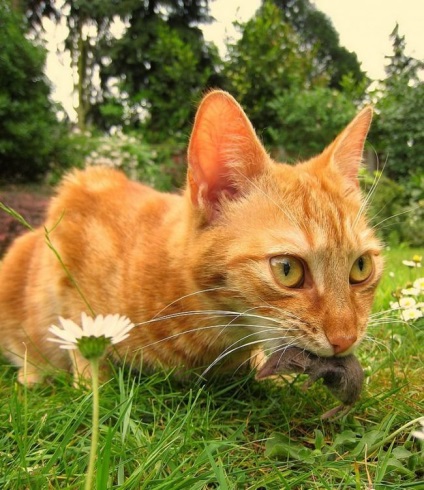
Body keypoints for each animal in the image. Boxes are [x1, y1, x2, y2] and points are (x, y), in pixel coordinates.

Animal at [0, 90, 382, 384]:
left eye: (361, 267)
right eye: (288, 269)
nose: (346, 338)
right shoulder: (75, 207)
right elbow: (82, 341)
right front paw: (91, 384)